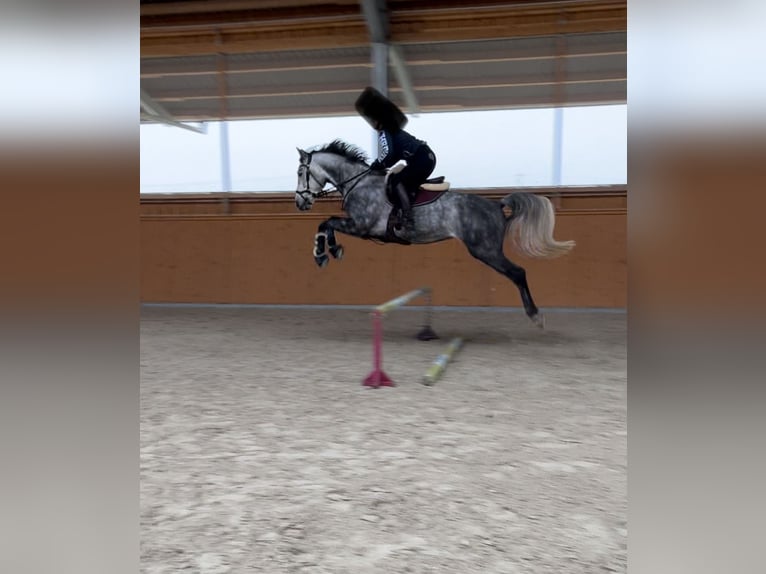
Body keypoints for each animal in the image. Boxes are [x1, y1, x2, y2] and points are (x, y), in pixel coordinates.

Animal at [295, 140, 575, 327]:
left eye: (300, 172)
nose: (299, 202)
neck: (358, 182)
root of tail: (496, 205)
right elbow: (326, 224)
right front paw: (330, 251)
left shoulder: (362, 226)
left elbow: (326, 223)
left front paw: (325, 254)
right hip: (486, 251)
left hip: (485, 250)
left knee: (518, 273)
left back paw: (535, 315)